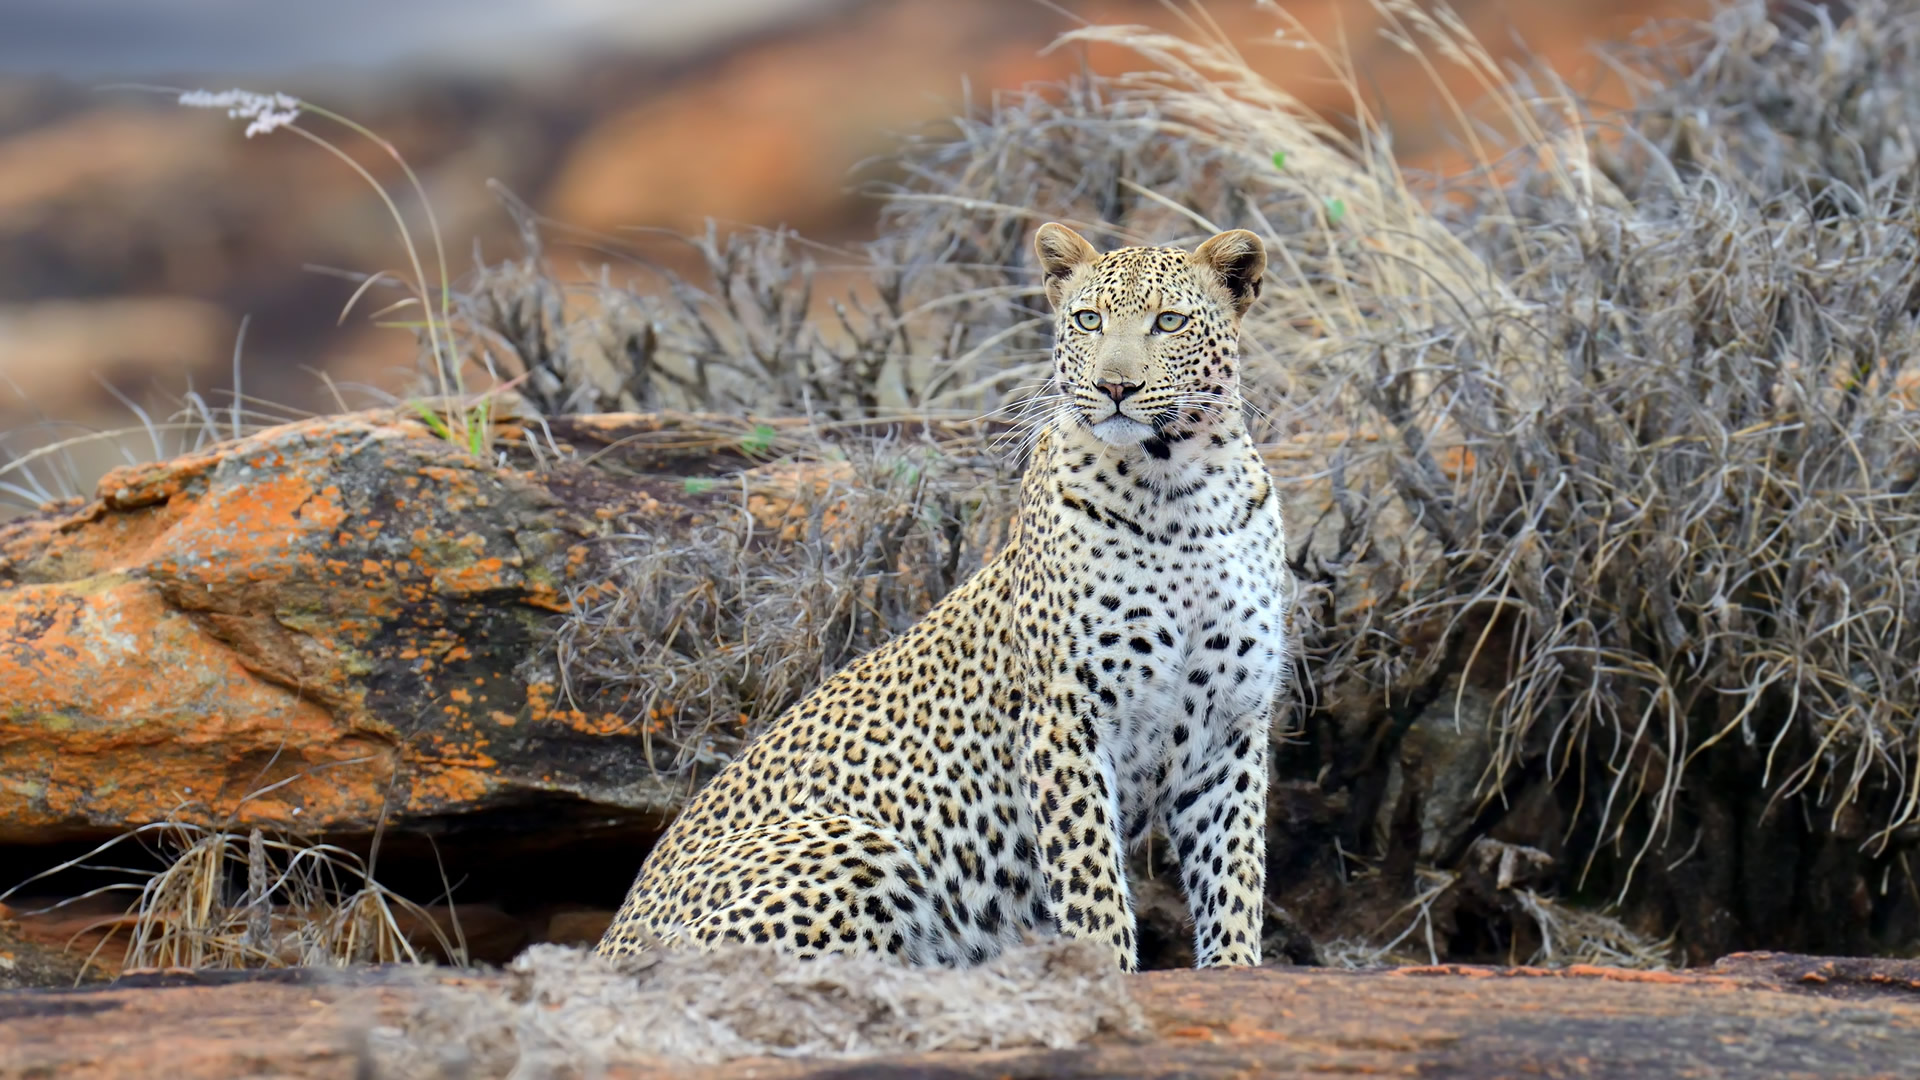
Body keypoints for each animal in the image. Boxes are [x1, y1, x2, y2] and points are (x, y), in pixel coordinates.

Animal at [591, 220, 1297, 968]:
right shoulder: (1065, 713)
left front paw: (1233, 970)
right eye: (1088, 320)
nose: (1114, 386)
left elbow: (1234, 874)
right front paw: (1104, 970)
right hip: (855, 845)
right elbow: (1090, 877)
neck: (1181, 492)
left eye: (1169, 322)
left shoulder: (1232, 725)